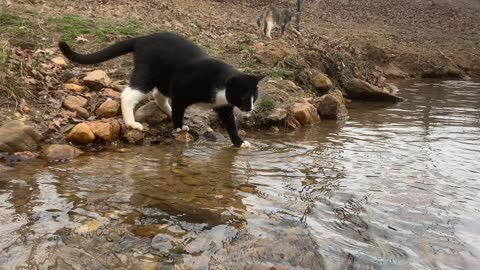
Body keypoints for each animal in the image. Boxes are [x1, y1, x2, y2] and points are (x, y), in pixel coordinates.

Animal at [59, 31, 262, 148]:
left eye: (255, 96)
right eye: (244, 97)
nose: (251, 108)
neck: (220, 87)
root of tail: (143, 38)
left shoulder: (224, 107)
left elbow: (231, 126)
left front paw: (239, 143)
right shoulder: (181, 93)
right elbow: (179, 111)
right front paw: (179, 128)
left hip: (163, 77)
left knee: (158, 94)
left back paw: (167, 112)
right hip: (148, 73)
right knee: (128, 95)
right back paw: (132, 123)